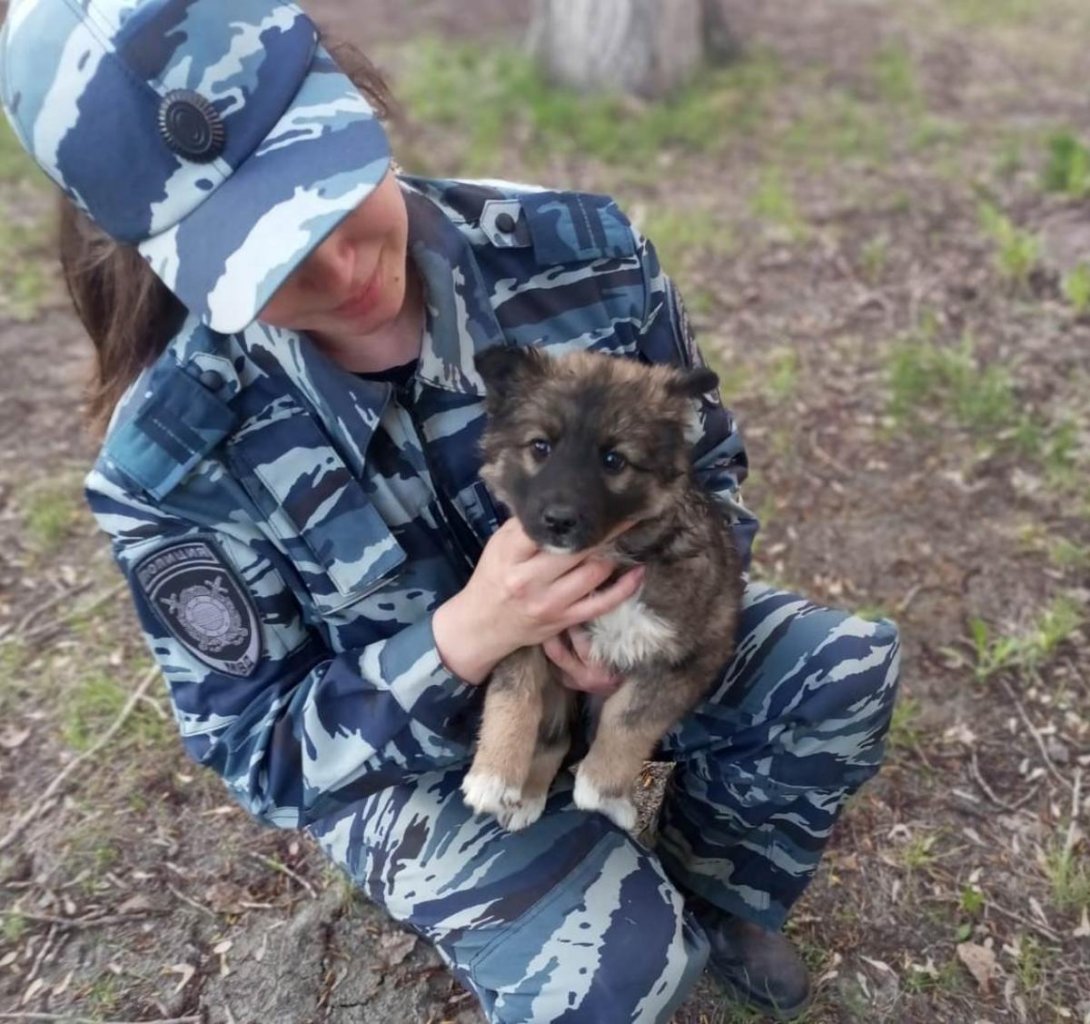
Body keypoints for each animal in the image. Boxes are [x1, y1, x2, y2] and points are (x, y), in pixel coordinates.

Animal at [464, 346, 745, 833]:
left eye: (614, 460)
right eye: (540, 447)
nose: (558, 521)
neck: (609, 556)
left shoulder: (690, 656)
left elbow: (630, 718)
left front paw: (600, 786)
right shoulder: (519, 626)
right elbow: (514, 696)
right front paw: (493, 774)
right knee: (555, 735)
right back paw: (527, 795)